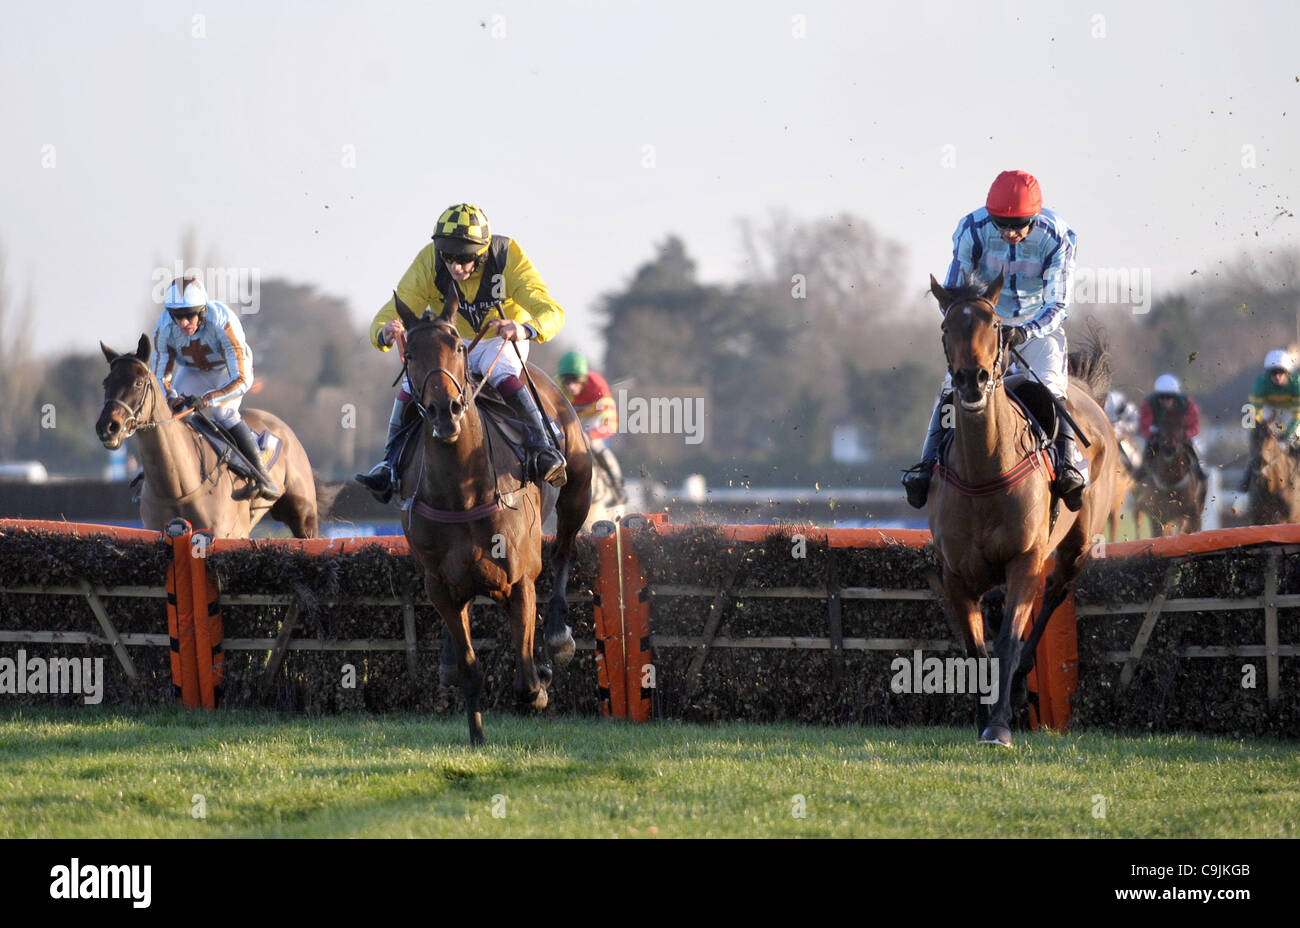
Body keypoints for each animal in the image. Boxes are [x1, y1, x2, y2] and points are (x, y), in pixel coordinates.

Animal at [387, 285, 587, 743]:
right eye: (411, 354)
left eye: (459, 347)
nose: (445, 410)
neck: (462, 493)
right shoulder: (441, 585)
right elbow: (469, 668)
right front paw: (476, 734)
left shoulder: (519, 579)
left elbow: (527, 678)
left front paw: (541, 682)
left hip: (578, 494)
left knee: (564, 552)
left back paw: (558, 636)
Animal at [925, 272, 1118, 743]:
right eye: (946, 327)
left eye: (995, 324)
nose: (972, 379)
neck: (984, 473)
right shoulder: (955, 574)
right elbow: (975, 649)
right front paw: (983, 717)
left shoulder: (1025, 560)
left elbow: (1009, 640)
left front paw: (998, 725)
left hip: (1077, 546)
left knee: (1055, 593)